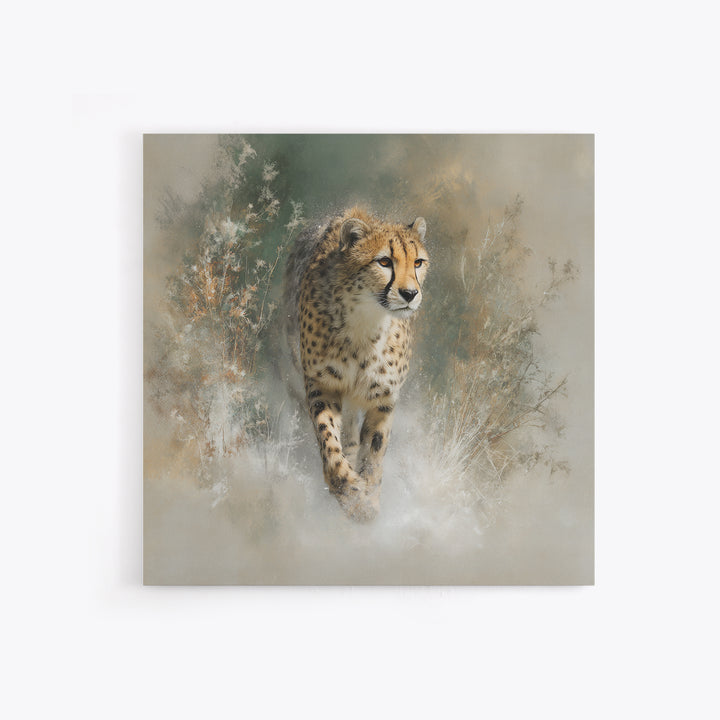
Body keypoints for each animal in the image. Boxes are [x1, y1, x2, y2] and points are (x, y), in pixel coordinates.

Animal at [284, 207, 429, 521]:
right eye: (384, 261)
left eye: (418, 262)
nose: (410, 294)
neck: (367, 321)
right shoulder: (322, 384)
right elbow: (329, 439)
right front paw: (348, 490)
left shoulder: (384, 398)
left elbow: (374, 450)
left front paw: (369, 498)